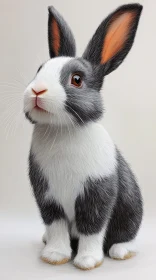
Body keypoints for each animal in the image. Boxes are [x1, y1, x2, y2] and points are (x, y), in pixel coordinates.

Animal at [23, 3, 143, 272]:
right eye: (39, 70)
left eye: (77, 79)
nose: (37, 90)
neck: (61, 130)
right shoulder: (48, 198)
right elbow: (56, 226)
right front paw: (54, 256)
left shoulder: (96, 194)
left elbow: (92, 227)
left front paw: (87, 261)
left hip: (131, 209)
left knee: (125, 234)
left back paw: (121, 251)